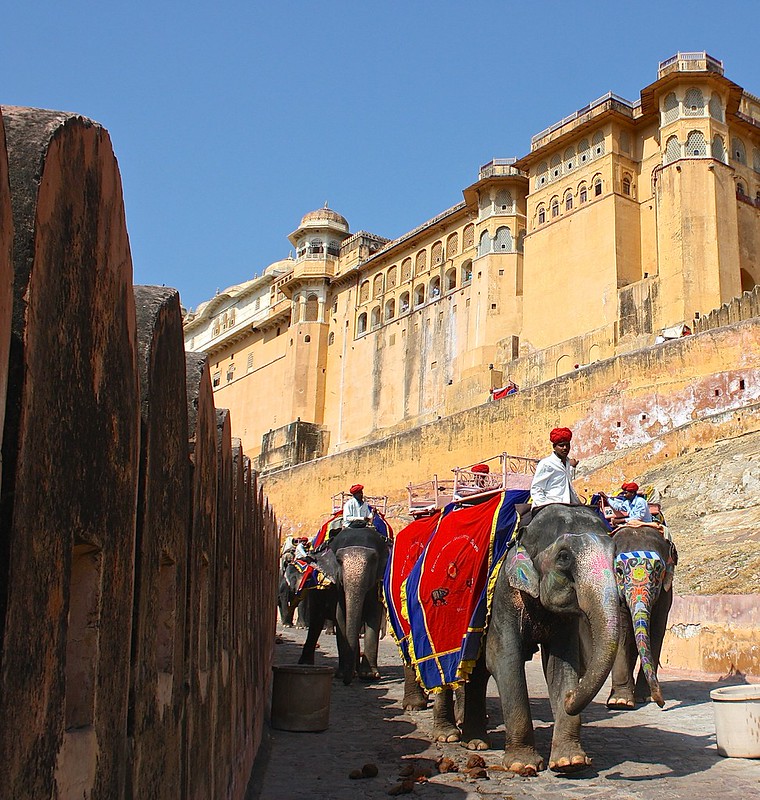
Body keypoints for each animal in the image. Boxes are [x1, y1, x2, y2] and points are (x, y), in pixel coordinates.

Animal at [298, 525, 390, 685]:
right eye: (338, 560)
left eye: (374, 559)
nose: (347, 682)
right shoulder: (338, 586)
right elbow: (341, 616)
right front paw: (341, 675)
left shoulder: (376, 583)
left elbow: (373, 616)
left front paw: (368, 676)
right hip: (315, 592)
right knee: (316, 621)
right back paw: (306, 664)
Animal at [402, 503, 620, 775]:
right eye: (564, 557)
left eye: (615, 554)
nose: (571, 696)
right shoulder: (502, 594)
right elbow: (505, 660)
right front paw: (522, 764)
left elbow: (560, 666)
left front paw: (570, 762)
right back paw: (445, 733)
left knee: (475, 673)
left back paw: (475, 743)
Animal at [607, 525, 678, 709]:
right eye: (619, 571)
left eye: (658, 570)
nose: (662, 703)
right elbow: (622, 631)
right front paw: (620, 702)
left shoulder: (665, 594)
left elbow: (656, 630)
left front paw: (644, 698)